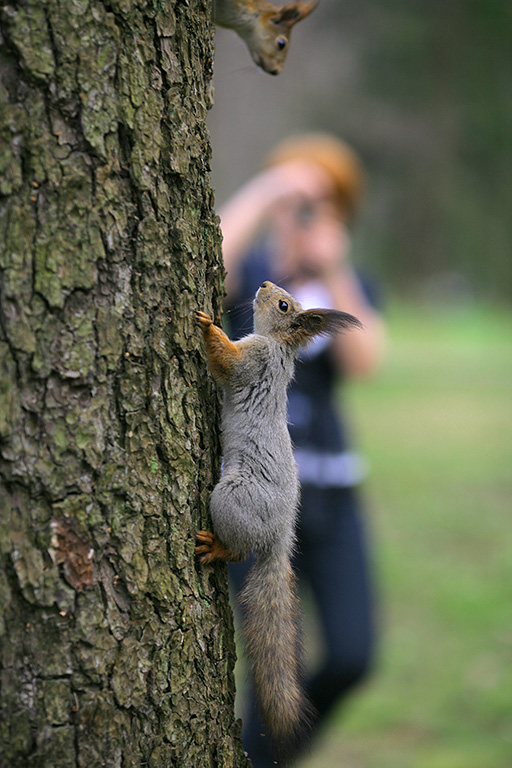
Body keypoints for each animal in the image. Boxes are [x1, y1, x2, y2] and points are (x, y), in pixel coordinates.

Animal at [194, 280, 362, 756]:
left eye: (284, 305)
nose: (266, 285)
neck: (279, 346)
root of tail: (281, 534)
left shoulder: (254, 360)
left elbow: (227, 362)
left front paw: (207, 325)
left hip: (232, 498)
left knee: (236, 551)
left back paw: (215, 546)